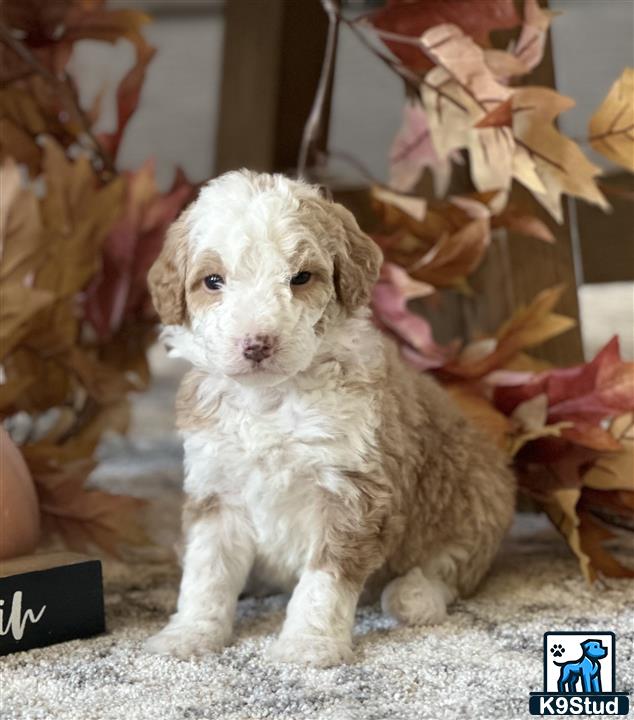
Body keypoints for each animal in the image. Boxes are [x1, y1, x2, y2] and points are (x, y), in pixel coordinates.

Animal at [143, 172, 512, 668]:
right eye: (212, 281)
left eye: (300, 277)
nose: (256, 343)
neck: (272, 400)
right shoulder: (216, 487)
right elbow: (207, 572)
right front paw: (190, 633)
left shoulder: (353, 489)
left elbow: (324, 581)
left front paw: (308, 644)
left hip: (474, 493)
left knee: (454, 562)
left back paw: (415, 596)